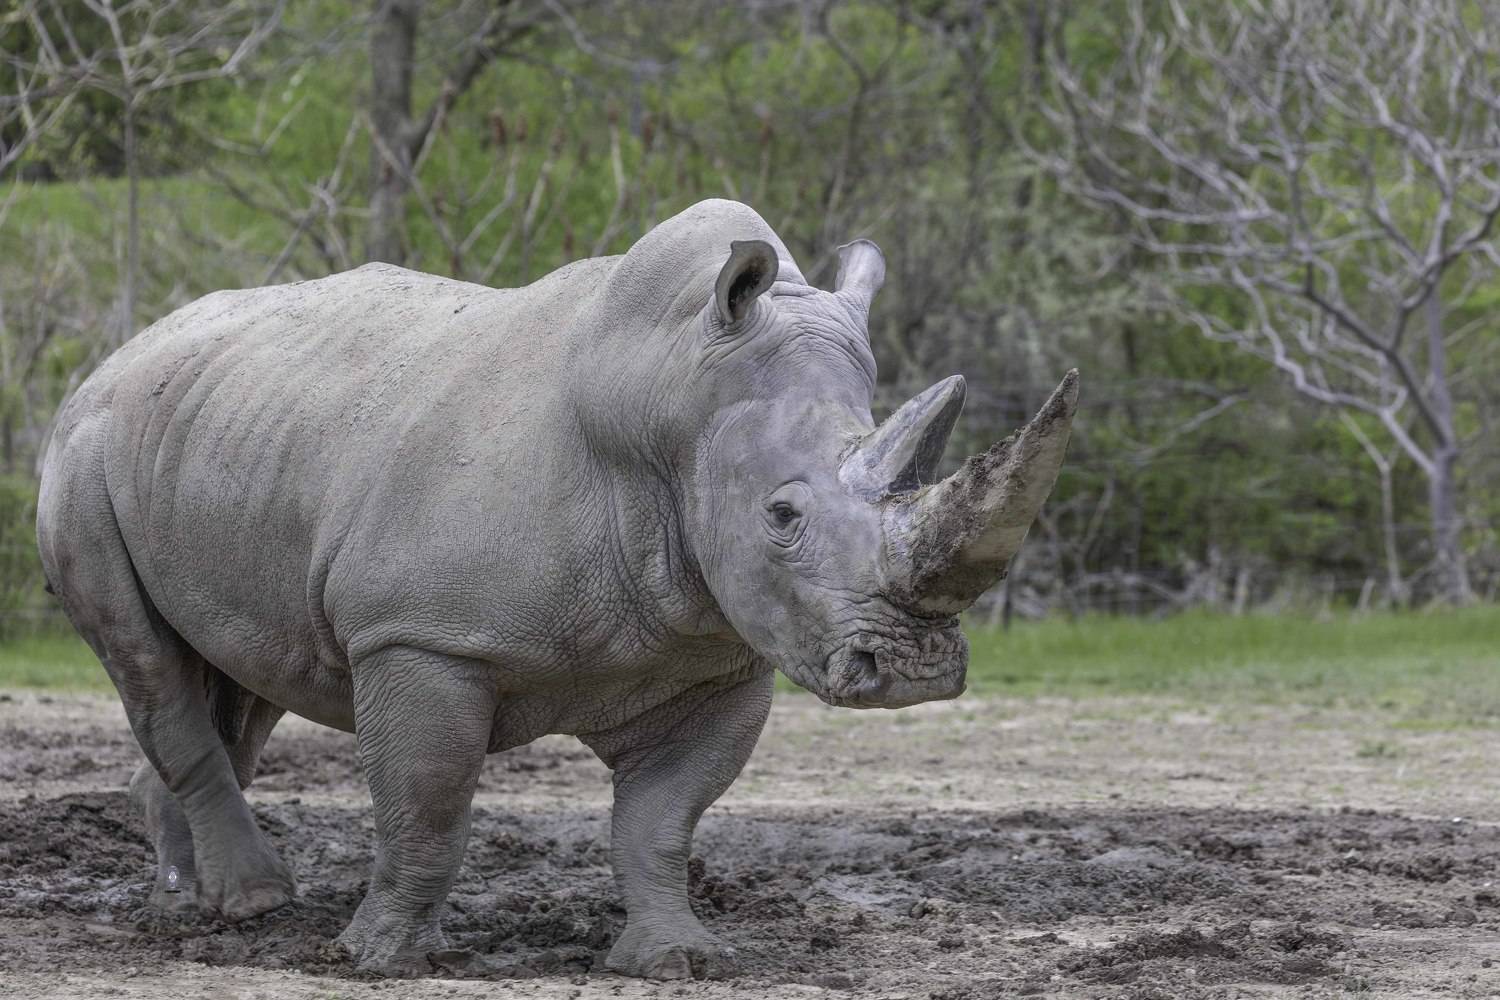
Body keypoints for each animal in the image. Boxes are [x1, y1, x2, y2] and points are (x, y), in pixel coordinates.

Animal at [36, 199, 1077, 979]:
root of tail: (126, 351)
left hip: (215, 436)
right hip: (84, 452)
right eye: (783, 516)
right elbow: (429, 801)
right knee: (148, 663)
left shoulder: (720, 657)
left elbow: (661, 820)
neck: (669, 409)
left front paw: (679, 959)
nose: (913, 673)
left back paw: (201, 909)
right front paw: (384, 959)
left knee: (239, 677)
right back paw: (251, 904)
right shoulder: (421, 636)